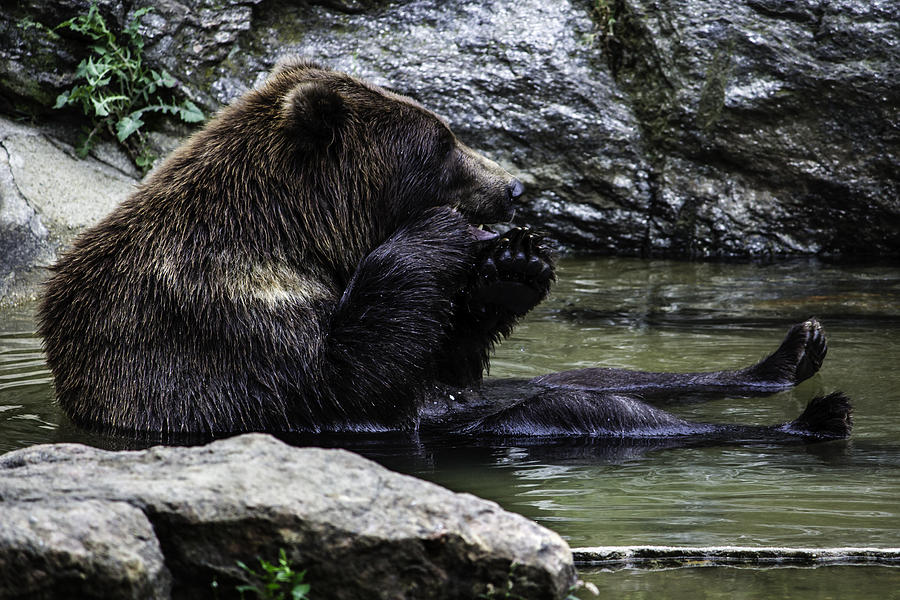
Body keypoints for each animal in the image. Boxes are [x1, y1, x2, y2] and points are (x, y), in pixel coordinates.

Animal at [37, 57, 852, 440]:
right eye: (443, 144)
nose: (516, 186)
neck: (300, 237)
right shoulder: (221, 317)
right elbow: (347, 380)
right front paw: (441, 238)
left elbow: (444, 353)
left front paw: (513, 268)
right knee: (576, 408)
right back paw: (814, 418)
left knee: (603, 375)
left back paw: (790, 355)